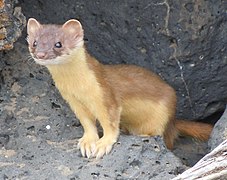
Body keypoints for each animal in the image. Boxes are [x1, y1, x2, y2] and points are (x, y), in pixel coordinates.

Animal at [26, 18, 213, 158]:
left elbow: (109, 123)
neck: (78, 88)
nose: (40, 54)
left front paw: (103, 144)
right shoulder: (73, 101)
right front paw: (87, 142)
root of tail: (173, 121)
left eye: (58, 44)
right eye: (34, 42)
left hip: (165, 114)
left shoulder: (105, 95)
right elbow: (87, 122)